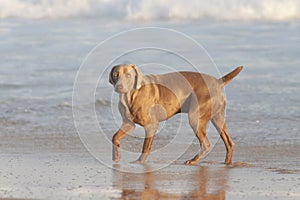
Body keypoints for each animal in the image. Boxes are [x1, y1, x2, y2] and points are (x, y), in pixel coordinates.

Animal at [109, 63, 243, 164]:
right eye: (116, 75)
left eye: (128, 75)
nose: (119, 86)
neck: (130, 96)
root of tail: (218, 81)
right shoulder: (128, 124)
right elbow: (114, 136)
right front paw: (116, 155)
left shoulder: (151, 124)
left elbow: (146, 146)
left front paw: (139, 161)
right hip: (217, 117)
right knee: (229, 143)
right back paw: (227, 163)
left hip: (195, 118)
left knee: (206, 144)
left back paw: (193, 160)